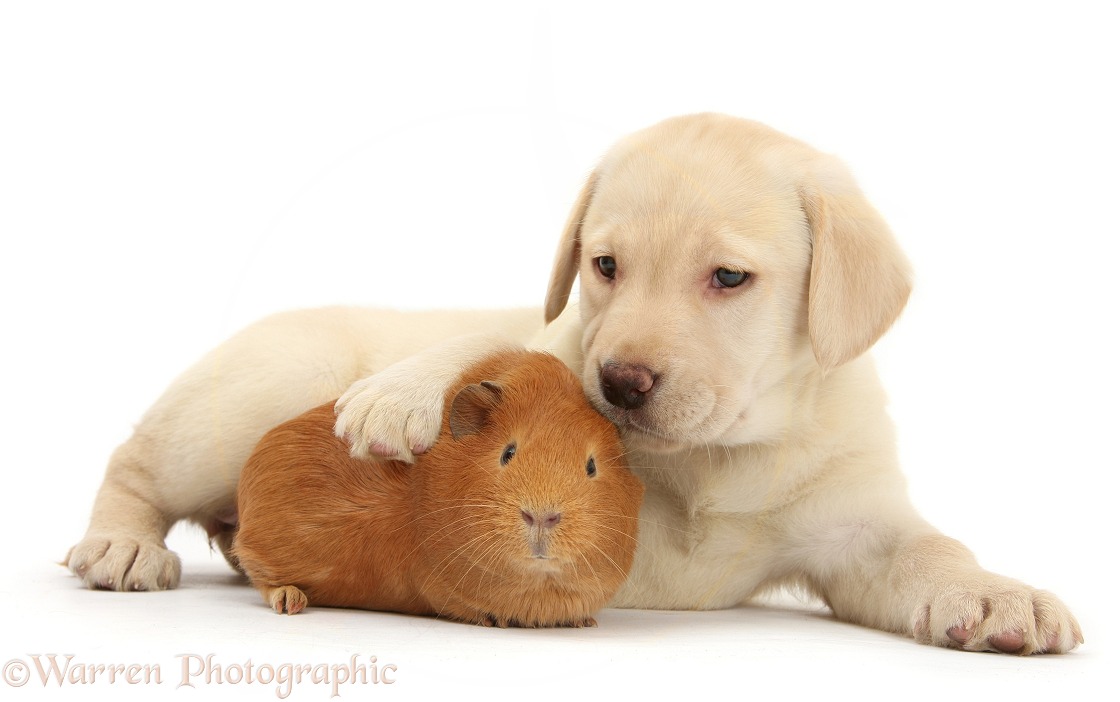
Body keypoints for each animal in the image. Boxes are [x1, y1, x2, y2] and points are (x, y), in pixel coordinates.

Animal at [65, 112, 1079, 658]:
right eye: (605, 266)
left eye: (729, 279)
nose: (620, 383)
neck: (721, 456)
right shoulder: (553, 342)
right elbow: (499, 344)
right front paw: (405, 392)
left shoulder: (857, 533)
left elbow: (932, 549)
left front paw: (997, 595)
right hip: (260, 387)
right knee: (134, 464)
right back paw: (123, 545)